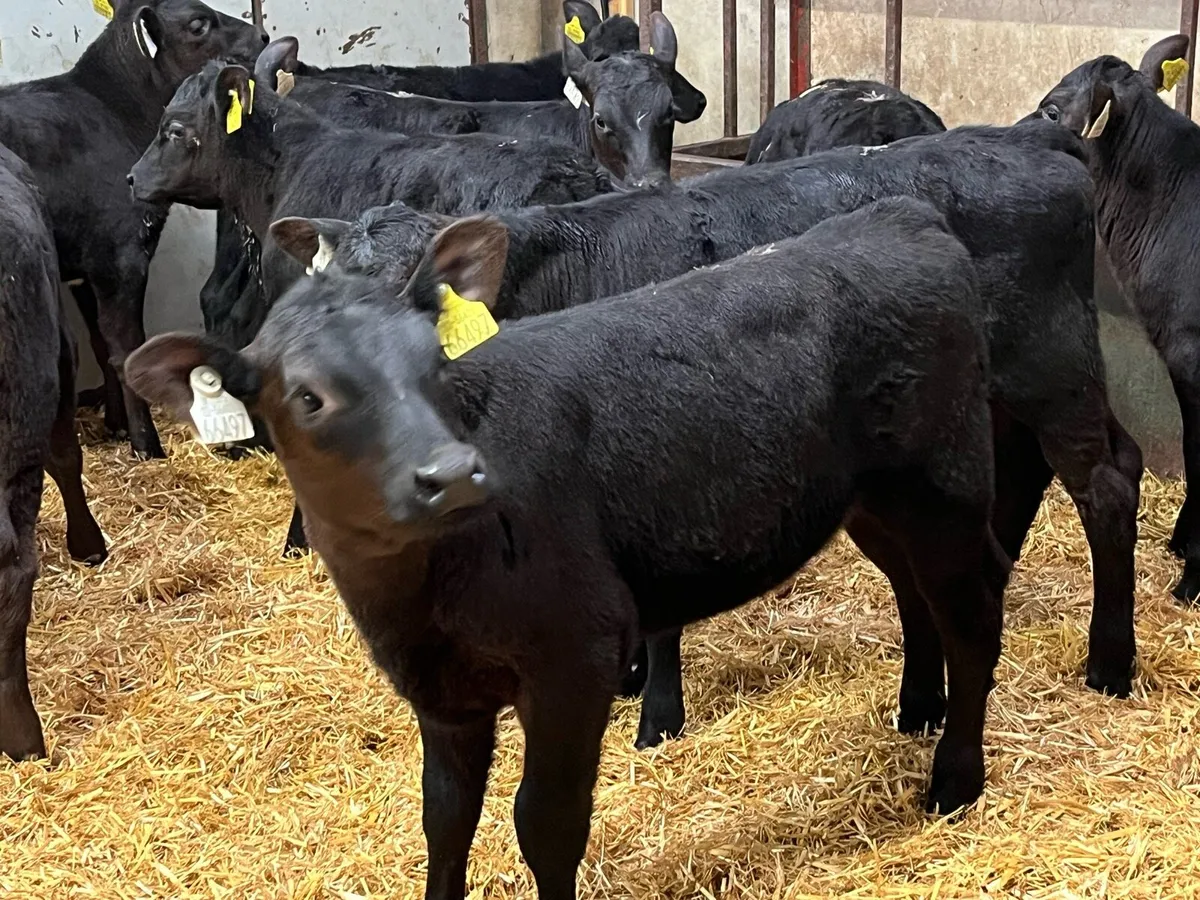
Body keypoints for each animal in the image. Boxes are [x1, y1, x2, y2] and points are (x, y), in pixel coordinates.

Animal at [0, 0, 267, 460]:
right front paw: (147, 444)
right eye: (198, 23)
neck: (116, 111)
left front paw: (116, 425)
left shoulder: (86, 267)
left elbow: (102, 344)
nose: (264, 36)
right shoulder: (119, 256)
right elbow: (126, 349)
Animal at [128, 198, 1006, 899]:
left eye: (435, 361)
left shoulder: (573, 658)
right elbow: (444, 818)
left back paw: (955, 779)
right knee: (913, 595)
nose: (452, 473)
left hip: (947, 487)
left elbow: (545, 823)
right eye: (309, 397)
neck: (417, 592)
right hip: (875, 501)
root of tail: (900, 214)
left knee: (971, 618)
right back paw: (916, 711)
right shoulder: (441, 691)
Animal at [272, 122, 1143, 747]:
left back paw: (1108, 661)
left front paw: (658, 713)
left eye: (413, 308)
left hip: (1054, 364)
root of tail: (1031, 138)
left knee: (1105, 484)